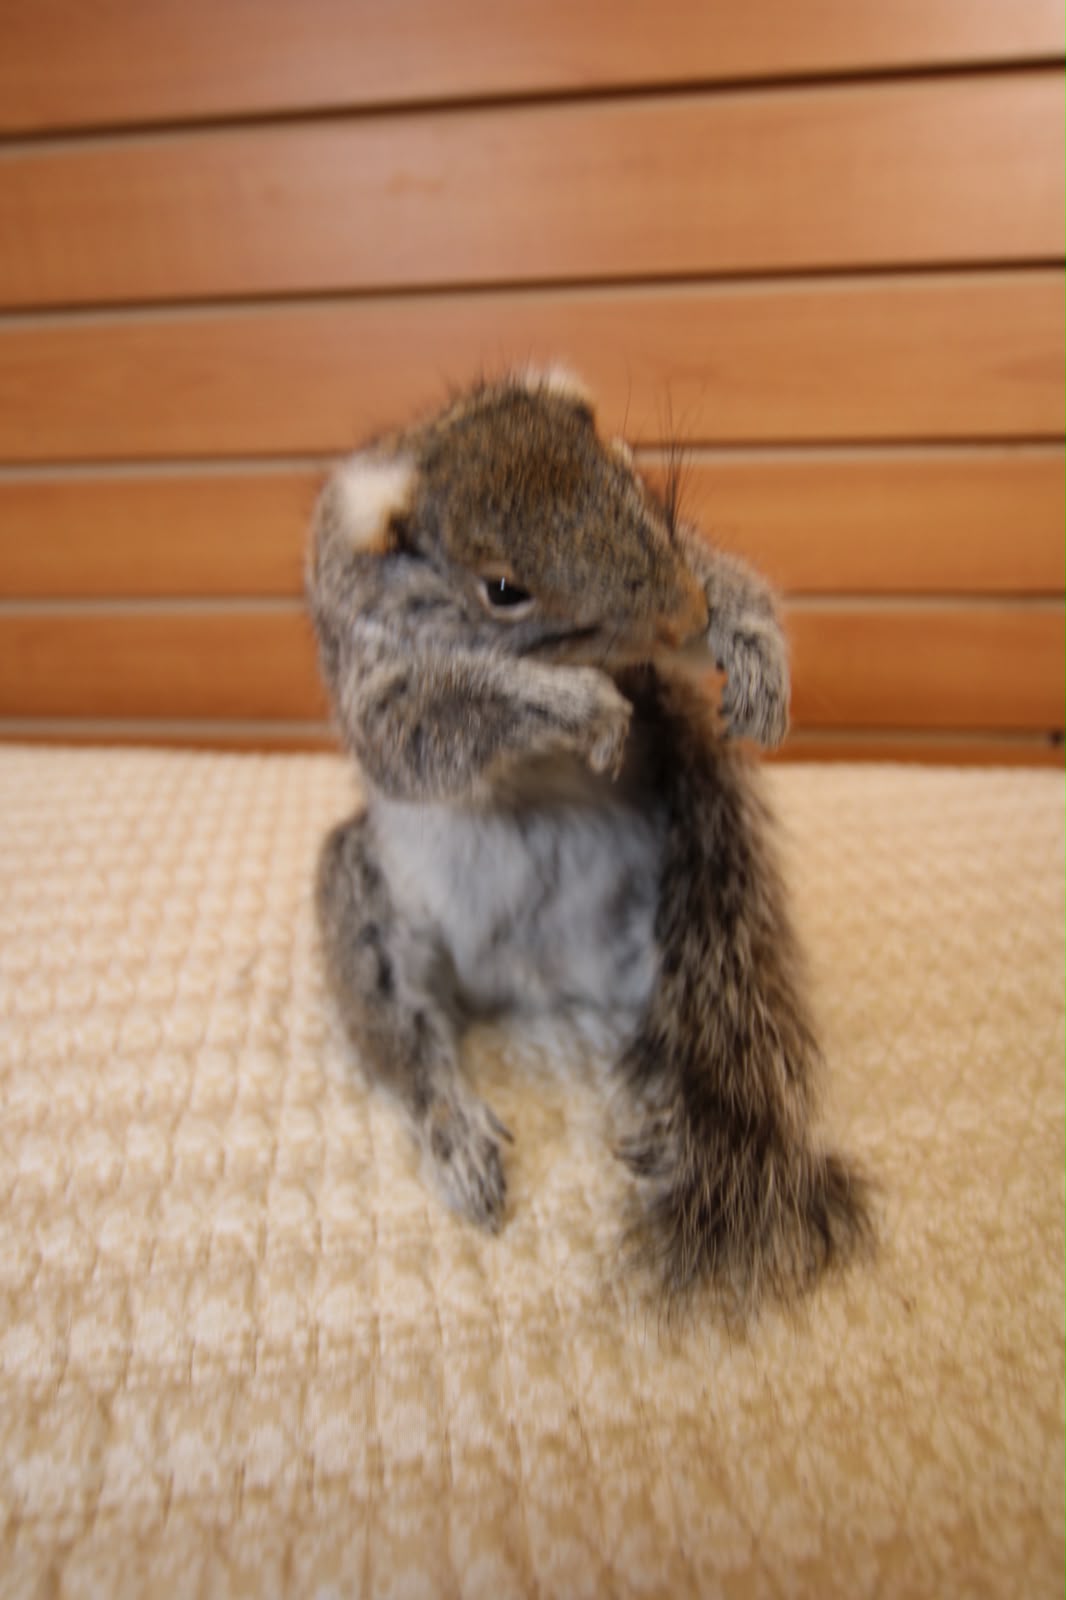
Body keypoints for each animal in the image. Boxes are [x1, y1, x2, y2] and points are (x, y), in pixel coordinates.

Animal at [307, 367, 870, 1314]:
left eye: (627, 471)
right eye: (503, 588)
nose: (684, 612)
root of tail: (537, 982)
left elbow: (716, 579)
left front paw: (753, 647)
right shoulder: (375, 676)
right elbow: (425, 730)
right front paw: (568, 704)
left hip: (666, 945)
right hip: (367, 898)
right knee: (405, 1040)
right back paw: (457, 1134)